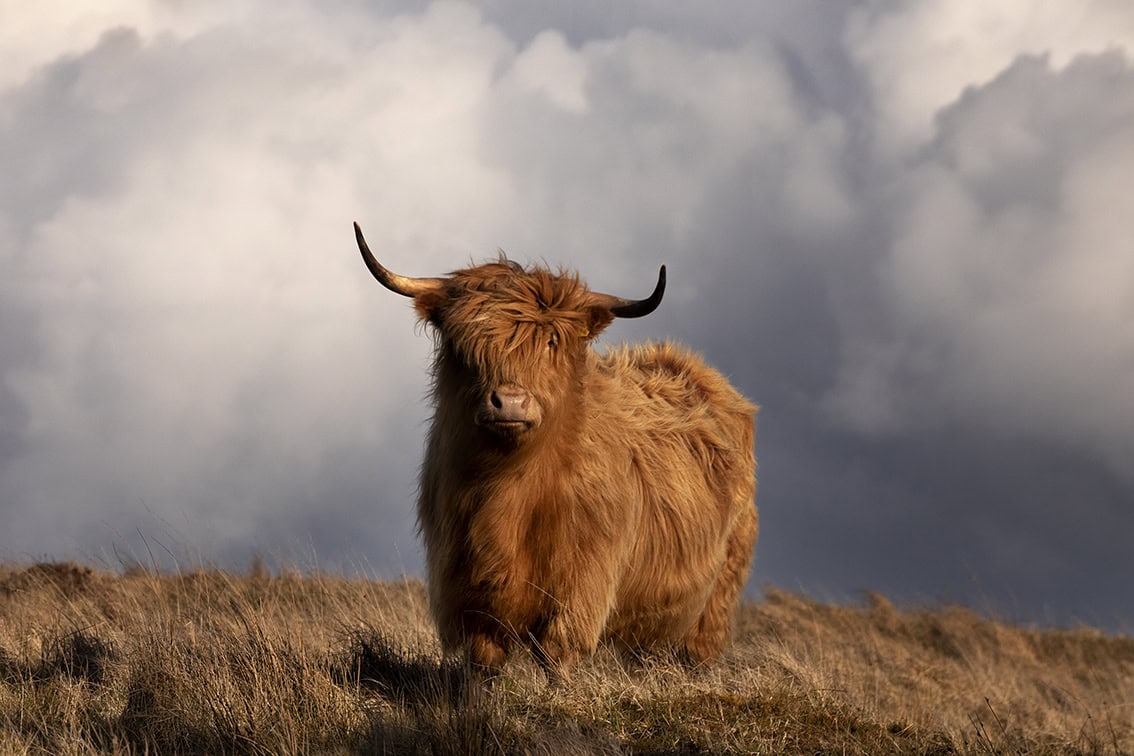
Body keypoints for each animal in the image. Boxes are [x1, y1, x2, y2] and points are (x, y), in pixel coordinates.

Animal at [353, 222, 757, 675]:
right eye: (465, 341)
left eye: (551, 341)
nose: (510, 402)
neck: (509, 488)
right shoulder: (465, 587)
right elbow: (483, 663)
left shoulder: (580, 587)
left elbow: (556, 657)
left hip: (714, 604)